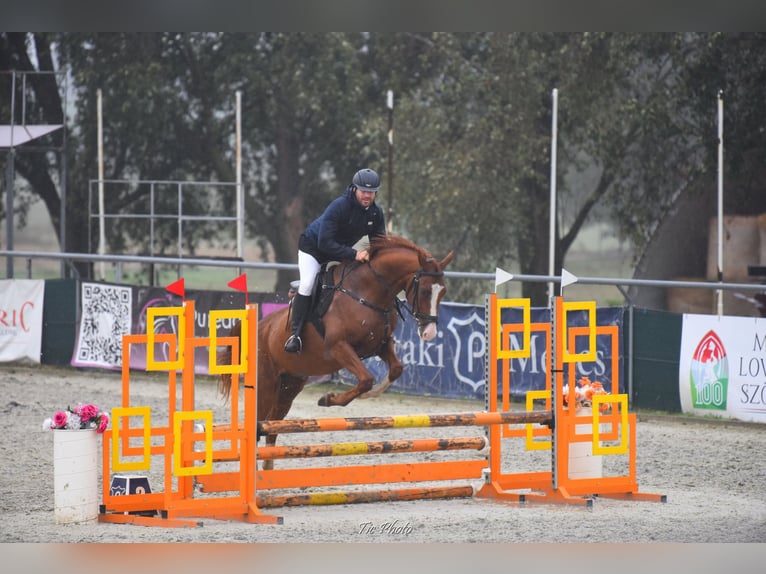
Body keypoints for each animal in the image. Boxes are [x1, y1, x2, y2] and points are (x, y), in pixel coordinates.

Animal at [219, 234, 452, 468]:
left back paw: (267, 467)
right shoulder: (338, 347)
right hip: (267, 382)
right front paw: (328, 399)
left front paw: (370, 394)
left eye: (443, 292)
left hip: (290, 385)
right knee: (259, 421)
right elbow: (365, 379)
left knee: (272, 424)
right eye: (424, 291)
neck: (367, 292)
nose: (429, 333)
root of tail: (259, 326)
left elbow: (395, 369)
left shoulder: (381, 344)